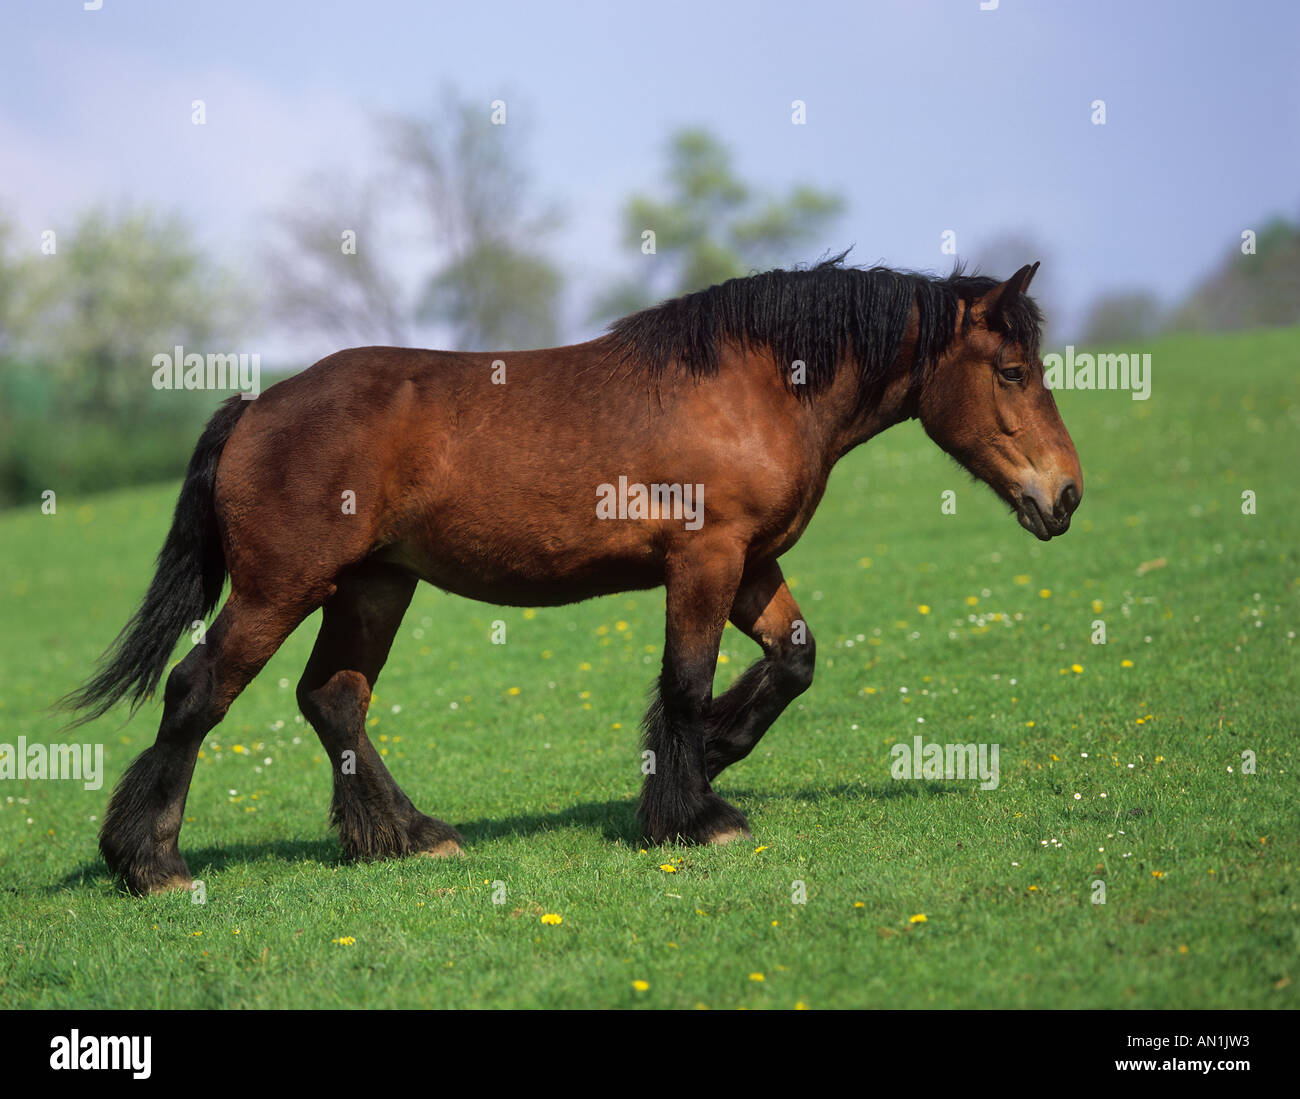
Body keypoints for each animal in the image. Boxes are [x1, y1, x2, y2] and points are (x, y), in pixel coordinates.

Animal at [63, 256, 1082, 896]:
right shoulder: (706, 559)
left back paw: (406, 836)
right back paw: (152, 863)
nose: (1066, 493)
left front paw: (709, 760)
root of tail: (256, 405)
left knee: (334, 698)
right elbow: (685, 683)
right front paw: (692, 811)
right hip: (282, 589)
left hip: (374, 586)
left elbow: (793, 660)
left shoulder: (754, 562)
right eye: (1012, 369)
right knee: (199, 690)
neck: (757, 385)